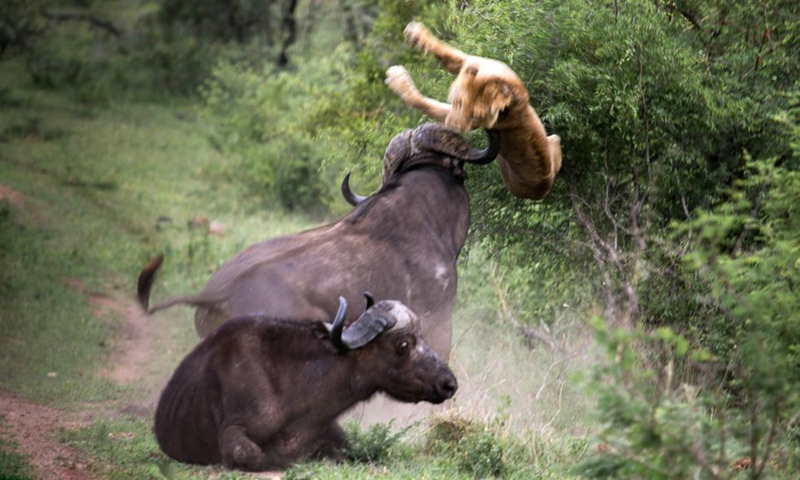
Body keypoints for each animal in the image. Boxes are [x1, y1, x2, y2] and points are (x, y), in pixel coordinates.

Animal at [388, 21, 564, 199]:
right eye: (459, 102)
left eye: (477, 116)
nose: (454, 125)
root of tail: (544, 187)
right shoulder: (473, 61)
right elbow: (445, 52)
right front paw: (415, 33)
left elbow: (426, 104)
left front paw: (397, 79)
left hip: (549, 145)